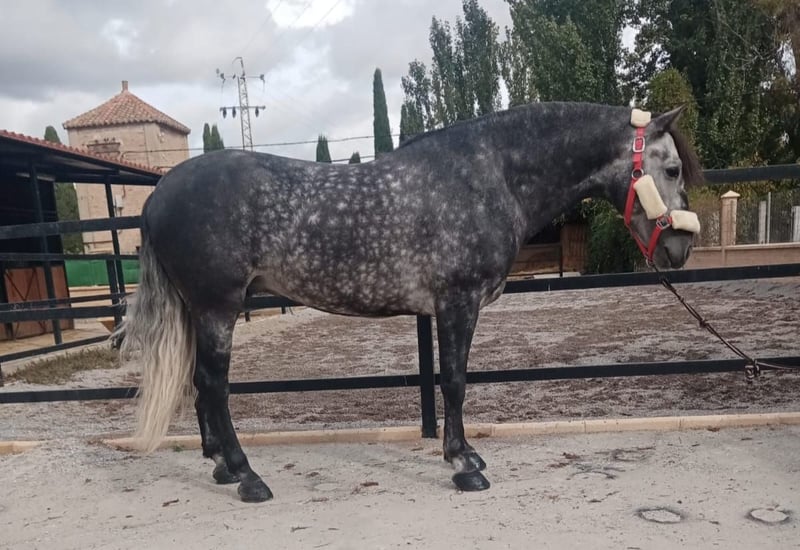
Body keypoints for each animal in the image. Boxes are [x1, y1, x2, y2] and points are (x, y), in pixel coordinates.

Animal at [118, 102, 702, 503]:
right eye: (672, 169)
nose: (680, 247)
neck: (490, 176)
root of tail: (158, 195)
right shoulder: (457, 303)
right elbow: (455, 382)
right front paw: (464, 466)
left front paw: (464, 454)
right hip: (217, 308)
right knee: (214, 386)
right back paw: (248, 478)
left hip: (201, 311)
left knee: (200, 386)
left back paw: (220, 465)